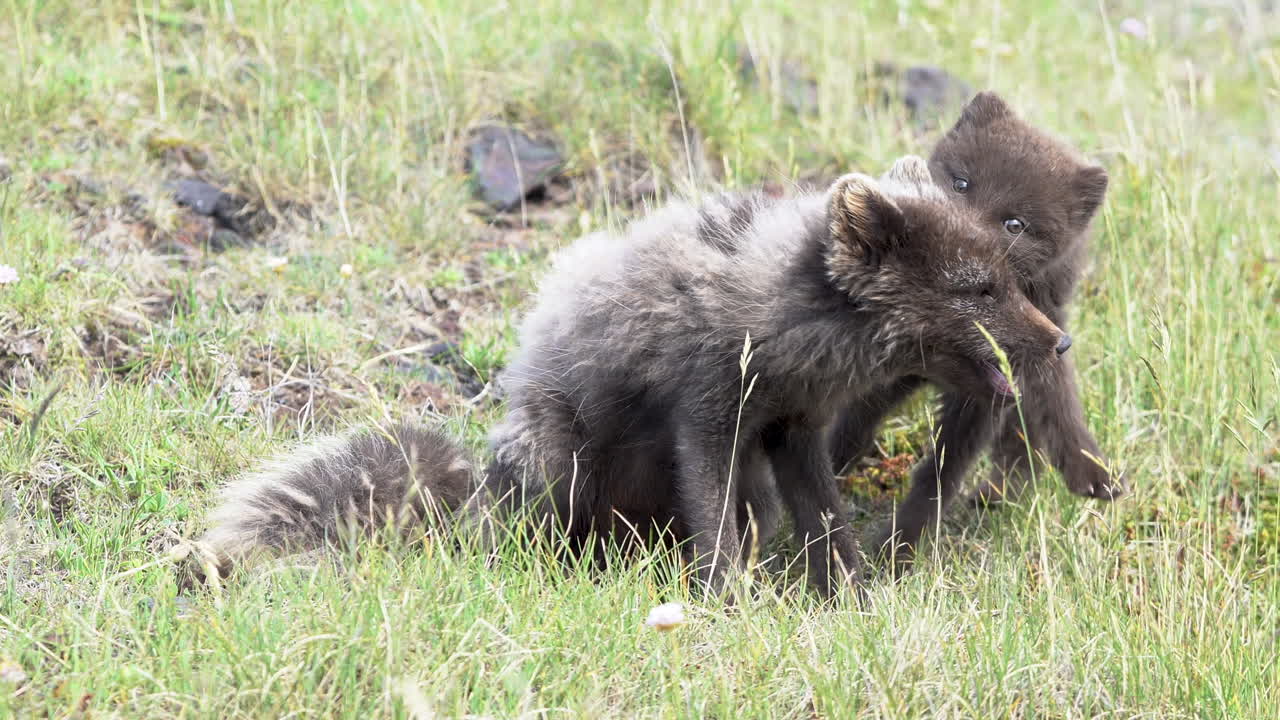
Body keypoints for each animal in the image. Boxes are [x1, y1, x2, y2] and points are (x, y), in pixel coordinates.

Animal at [185, 156, 1071, 598]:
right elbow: (714, 522)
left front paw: (852, 598)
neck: (793, 320)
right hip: (558, 454)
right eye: (976, 288)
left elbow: (825, 522)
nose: (1058, 343)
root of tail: (479, 484)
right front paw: (725, 602)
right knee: (527, 532)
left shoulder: (792, 430)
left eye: (1008, 275)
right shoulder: (709, 415)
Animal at [826, 92, 1125, 568]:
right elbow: (852, 423)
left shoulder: (987, 392)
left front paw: (900, 548)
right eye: (961, 183)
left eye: (1015, 224)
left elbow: (944, 471)